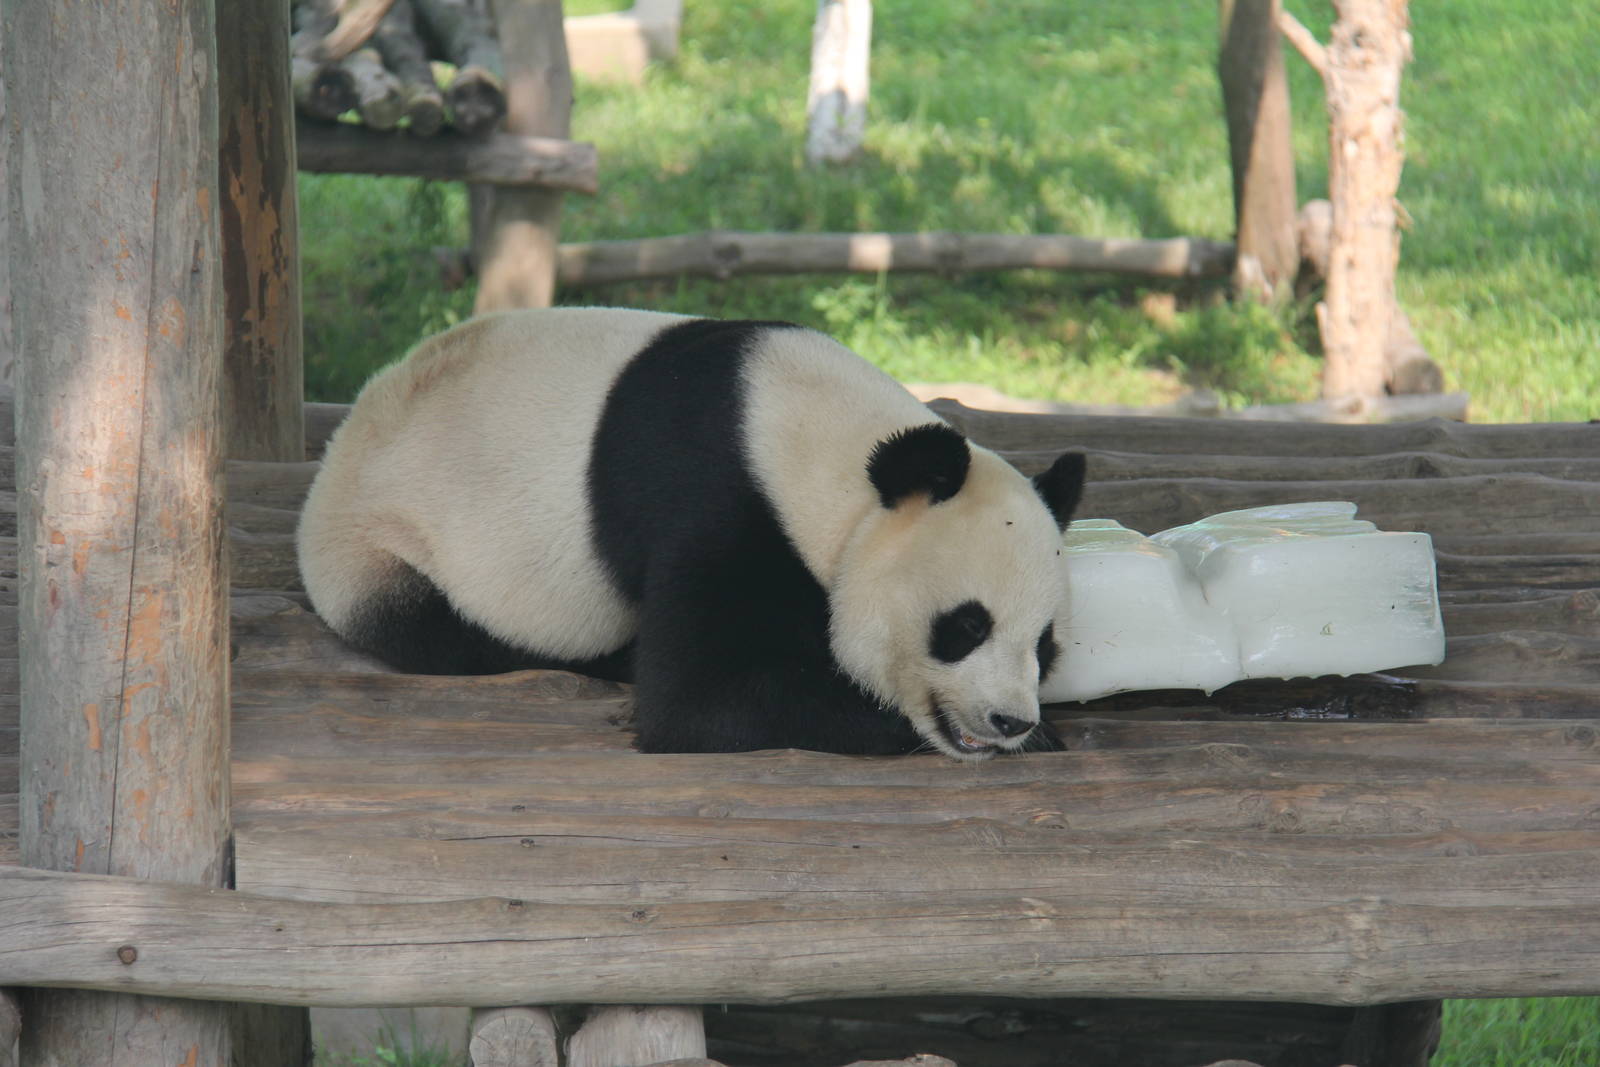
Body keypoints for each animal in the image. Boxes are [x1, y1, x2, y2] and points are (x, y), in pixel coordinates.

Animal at [297, 308, 1085, 760]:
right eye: (965, 626)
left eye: (1045, 643)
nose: (1009, 720)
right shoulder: (719, 498)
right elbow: (701, 700)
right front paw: (877, 718)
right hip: (383, 541)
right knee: (445, 632)